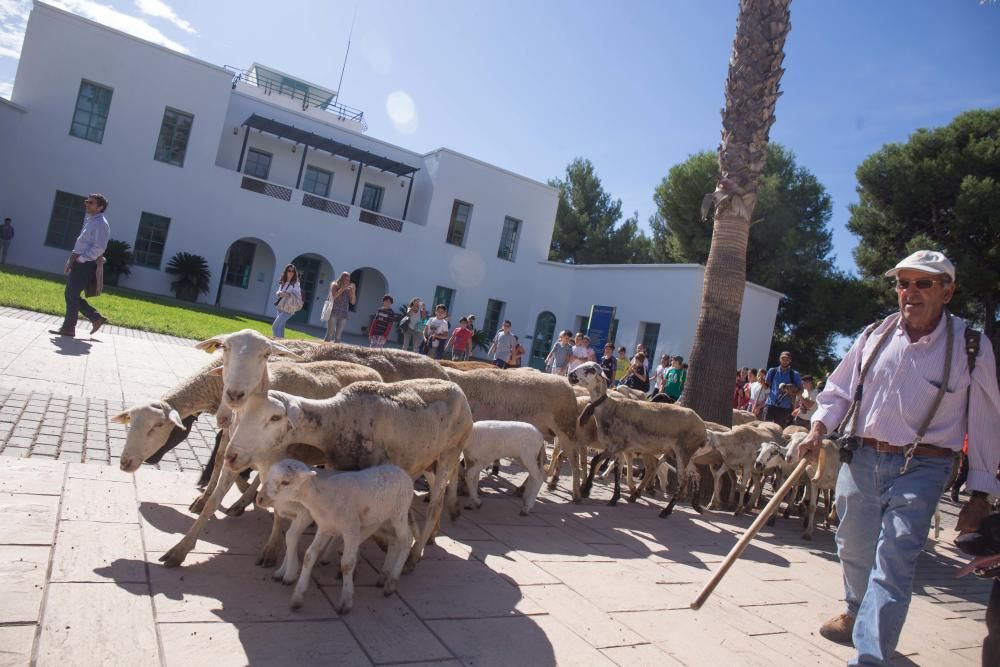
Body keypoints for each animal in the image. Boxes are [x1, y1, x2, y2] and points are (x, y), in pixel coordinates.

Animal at [221, 380, 470, 568]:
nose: (230, 456)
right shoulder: (336, 467)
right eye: (241, 414)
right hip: (429, 462)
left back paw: (414, 555)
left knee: (435, 505)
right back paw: (431, 536)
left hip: (450, 453)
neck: (337, 419)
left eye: (274, 418)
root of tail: (457, 387)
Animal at [260, 462, 416, 612]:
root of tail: (402, 471)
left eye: (285, 482)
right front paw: (297, 598)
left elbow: (347, 563)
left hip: (399, 513)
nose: (260, 498)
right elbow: (309, 556)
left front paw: (346, 602)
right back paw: (383, 576)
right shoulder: (324, 527)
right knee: (394, 540)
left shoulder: (351, 529)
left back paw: (391, 584)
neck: (324, 497)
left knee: (406, 540)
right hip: (381, 517)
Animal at [572, 362, 712, 520]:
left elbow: (596, 461)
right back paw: (696, 505)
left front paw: (586, 490)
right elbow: (617, 472)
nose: (570, 375)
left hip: (684, 452)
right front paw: (614, 499)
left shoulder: (614, 446)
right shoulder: (619, 449)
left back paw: (666, 511)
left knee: (682, 481)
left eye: (589, 369)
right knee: (697, 475)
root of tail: (703, 428)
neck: (609, 407)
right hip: (687, 454)